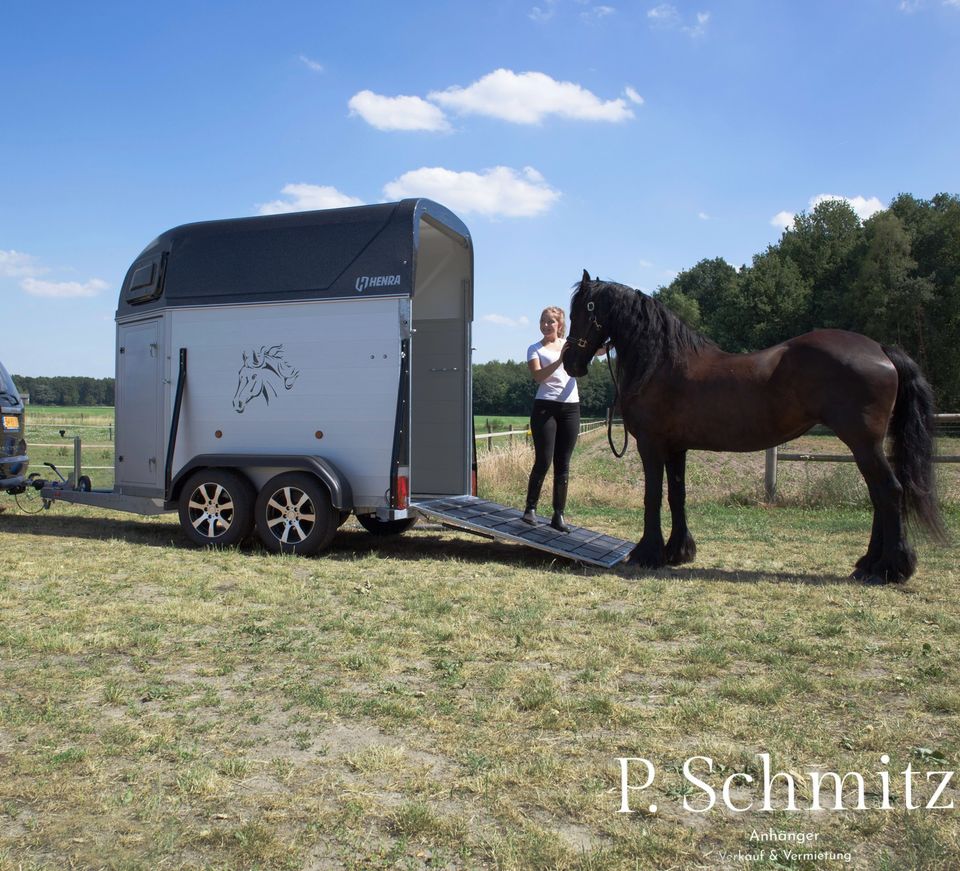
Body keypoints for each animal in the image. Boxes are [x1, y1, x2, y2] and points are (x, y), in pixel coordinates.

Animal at [564, 270, 944, 584]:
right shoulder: (676, 447)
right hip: (866, 446)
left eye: (582, 311)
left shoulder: (652, 445)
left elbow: (653, 496)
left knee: (889, 492)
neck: (661, 364)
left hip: (863, 443)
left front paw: (647, 553)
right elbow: (676, 495)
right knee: (880, 496)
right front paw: (677, 552)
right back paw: (869, 563)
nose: (570, 362)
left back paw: (890, 568)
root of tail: (880, 349)